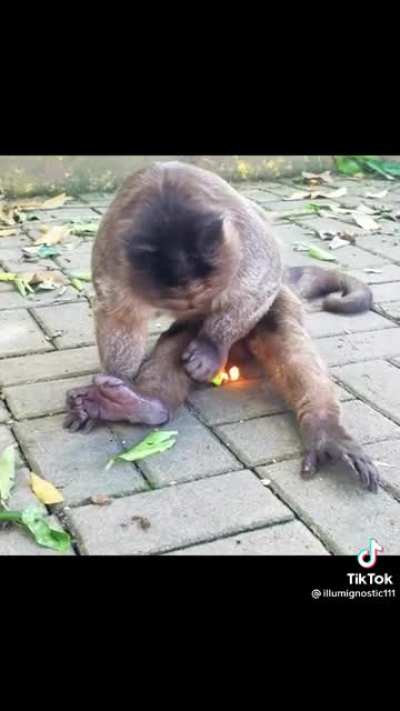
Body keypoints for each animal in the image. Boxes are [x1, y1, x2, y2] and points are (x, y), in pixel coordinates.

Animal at [64, 161, 379, 492]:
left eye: (204, 294)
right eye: (181, 302)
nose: (197, 310)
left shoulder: (243, 234)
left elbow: (260, 280)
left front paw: (212, 345)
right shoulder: (113, 254)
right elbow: (120, 317)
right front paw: (115, 379)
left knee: (283, 333)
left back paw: (325, 428)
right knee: (175, 341)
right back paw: (140, 404)